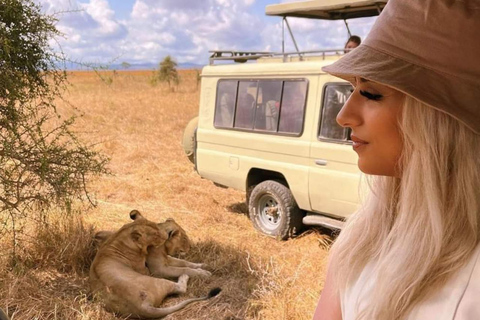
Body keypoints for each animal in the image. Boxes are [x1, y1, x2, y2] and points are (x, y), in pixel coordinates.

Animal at [89, 216, 220, 318]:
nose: (191, 247)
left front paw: (203, 265)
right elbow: (183, 268)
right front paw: (203, 273)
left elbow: (184, 262)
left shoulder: (167, 259)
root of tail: (142, 307)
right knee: (181, 287)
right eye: (184, 238)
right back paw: (184, 277)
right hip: (159, 281)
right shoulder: (159, 269)